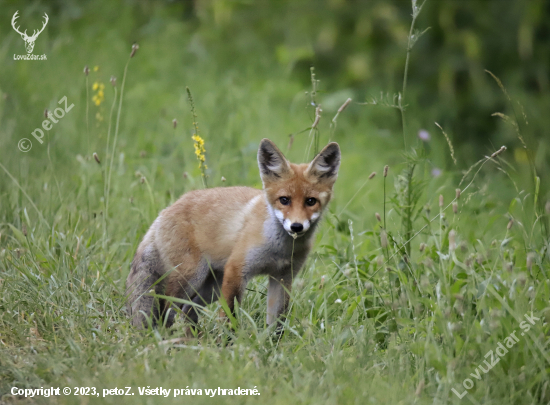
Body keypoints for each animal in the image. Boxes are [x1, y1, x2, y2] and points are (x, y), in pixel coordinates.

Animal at [127, 139, 340, 328]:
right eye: (284, 200)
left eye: (310, 201)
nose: (296, 227)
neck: (279, 249)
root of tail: (164, 211)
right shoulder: (237, 270)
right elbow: (229, 317)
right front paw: (229, 344)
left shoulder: (283, 277)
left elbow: (277, 323)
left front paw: (271, 345)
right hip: (191, 277)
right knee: (166, 309)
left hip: (211, 287)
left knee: (189, 311)